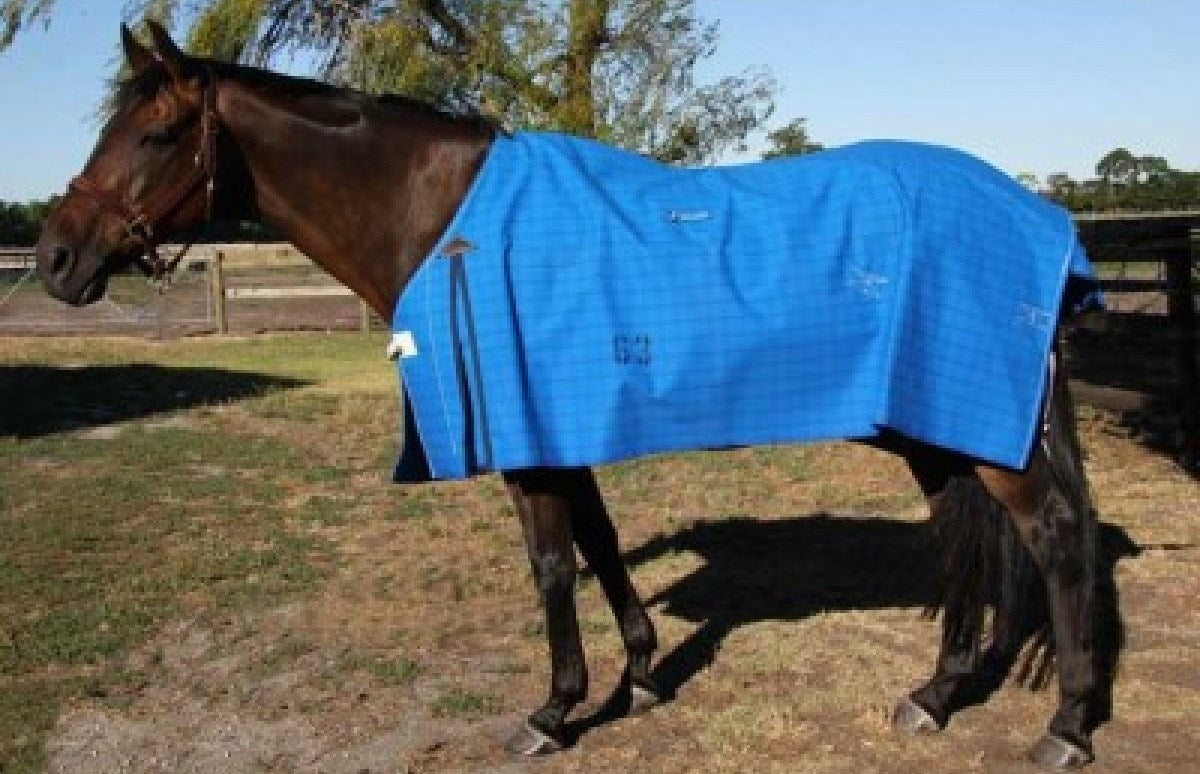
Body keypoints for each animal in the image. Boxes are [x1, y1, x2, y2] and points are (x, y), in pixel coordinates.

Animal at [36, 21, 1104, 769]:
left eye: (157, 133)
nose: (55, 259)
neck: (445, 219)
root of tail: (1044, 220)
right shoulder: (560, 425)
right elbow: (598, 542)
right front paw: (637, 673)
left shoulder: (526, 434)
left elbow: (551, 564)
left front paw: (554, 710)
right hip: (941, 426)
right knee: (965, 540)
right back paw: (937, 695)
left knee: (1053, 538)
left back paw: (1065, 726)